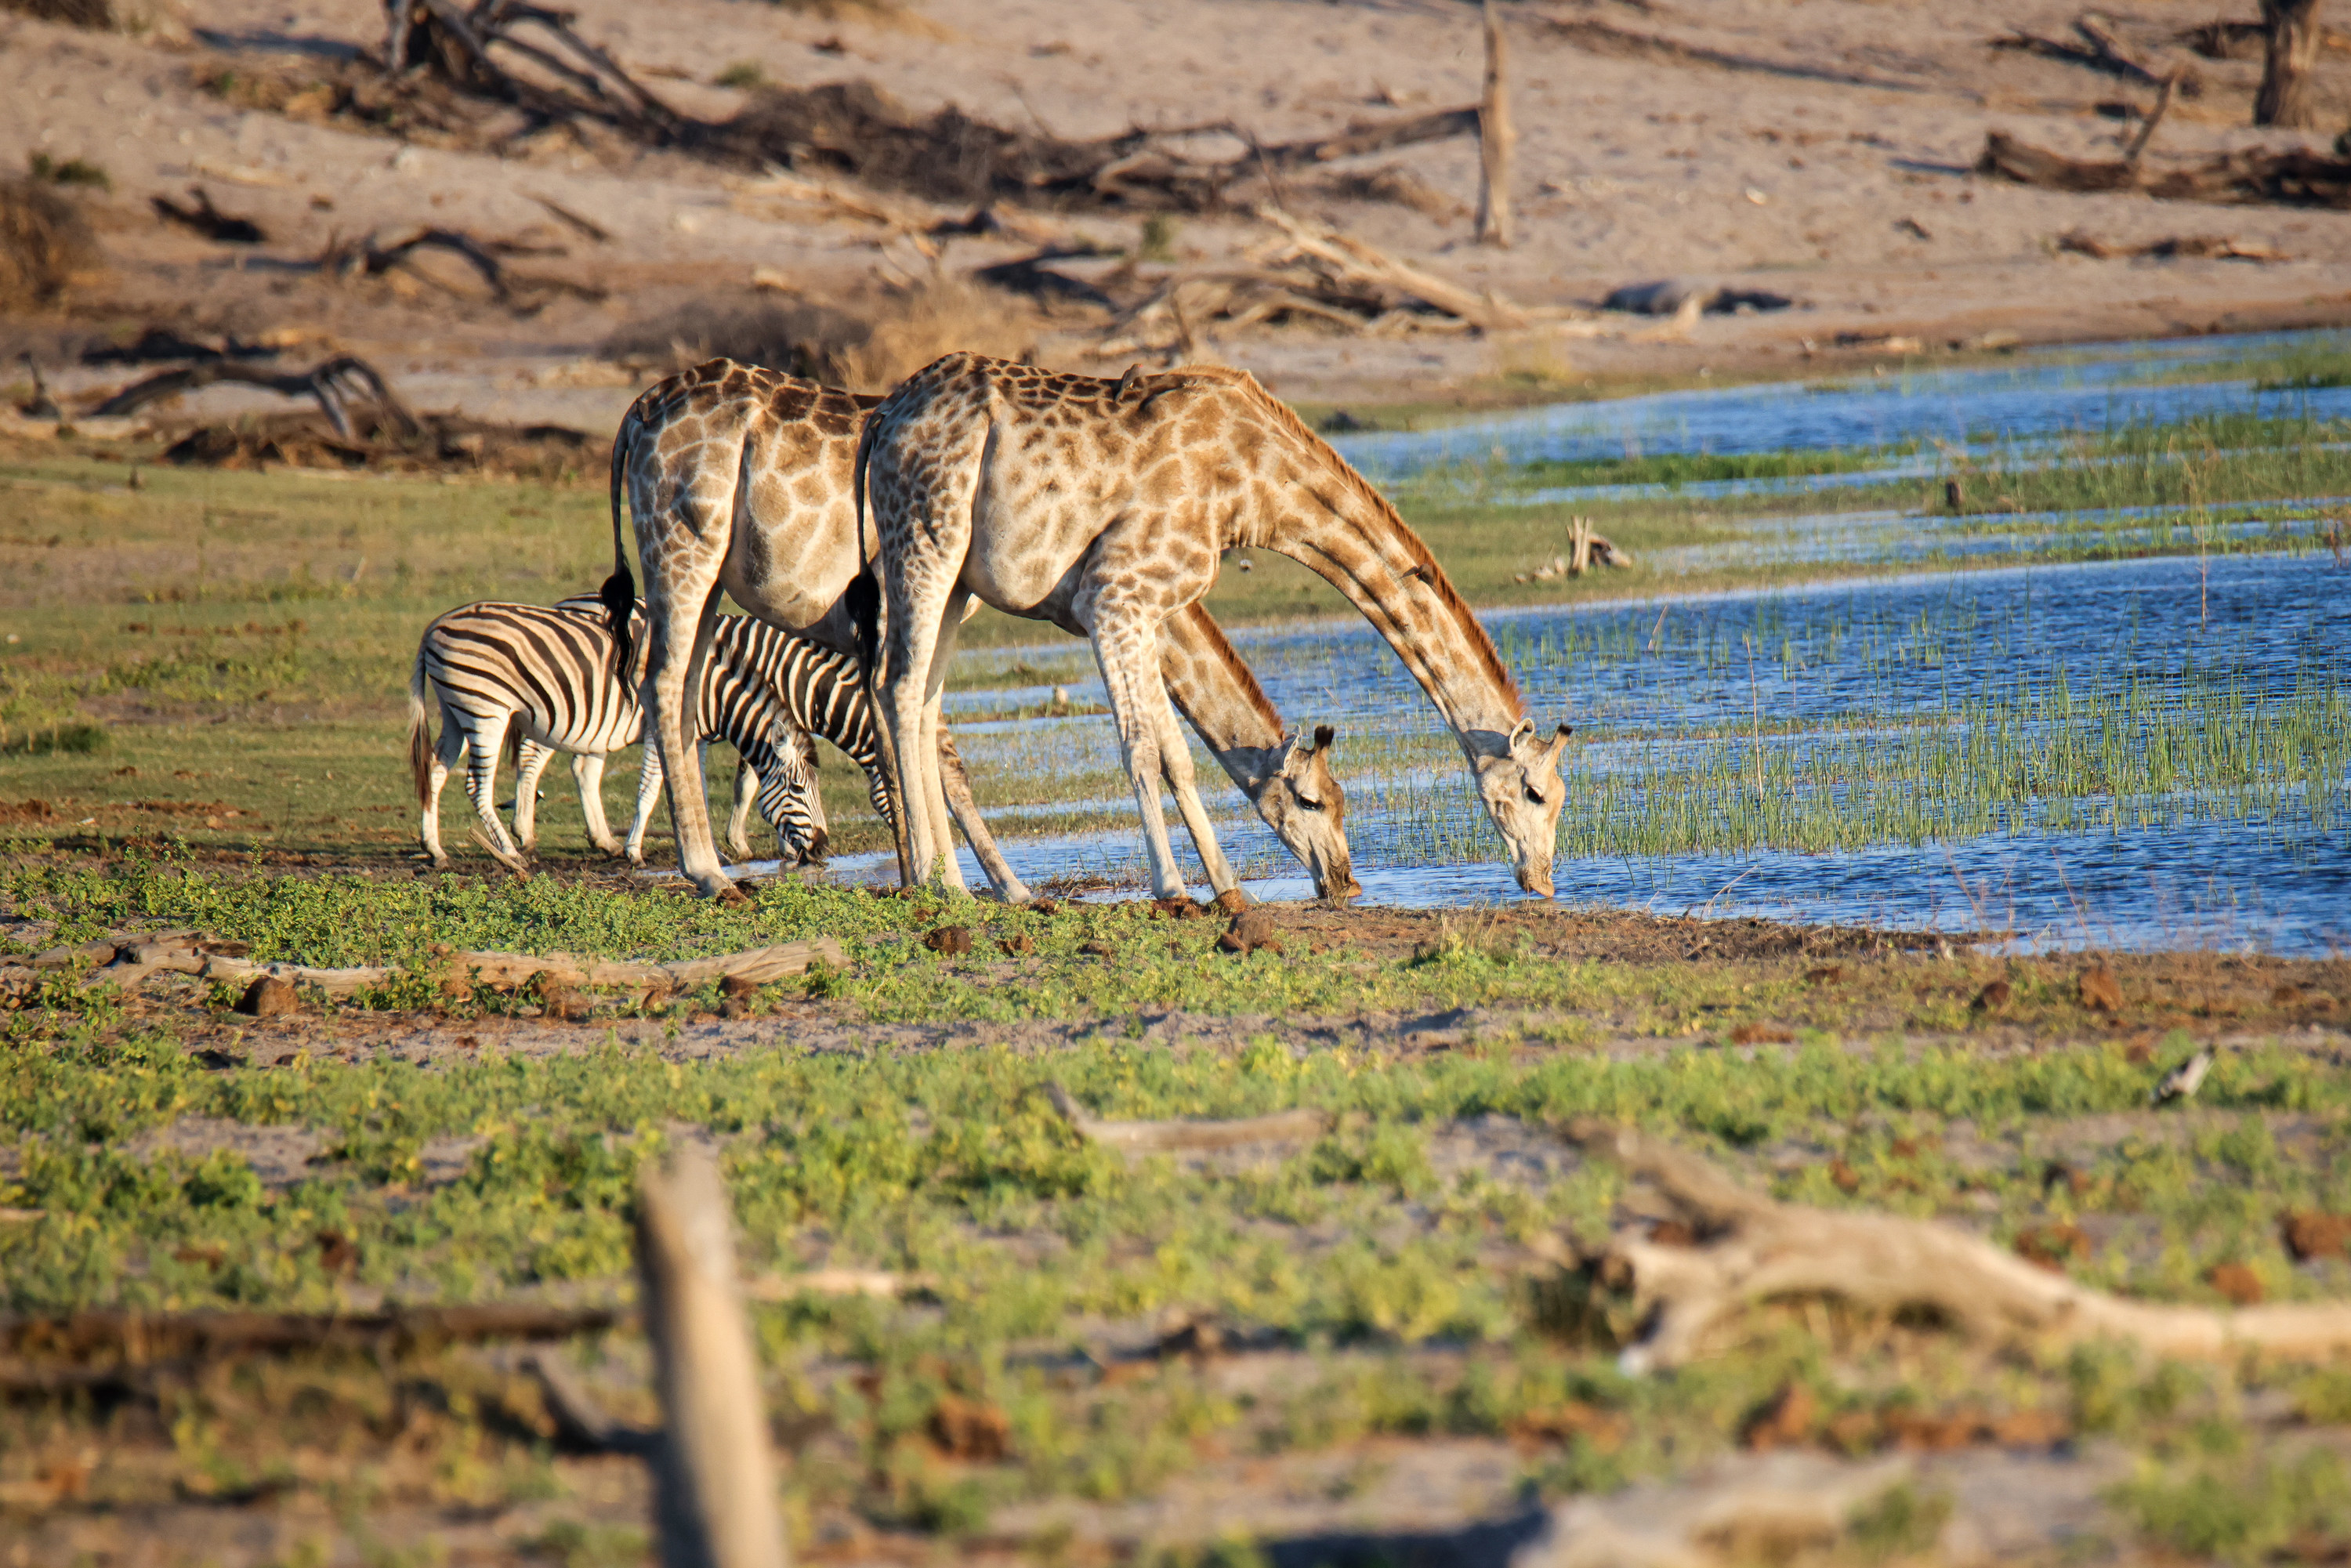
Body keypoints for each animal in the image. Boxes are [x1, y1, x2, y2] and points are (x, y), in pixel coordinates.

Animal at [411, 597, 828, 870]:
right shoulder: (660, 731)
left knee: (435, 770)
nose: (823, 848)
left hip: (456, 710)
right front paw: (635, 852)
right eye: (797, 789)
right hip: (487, 711)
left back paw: (435, 849)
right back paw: (512, 853)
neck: (708, 688)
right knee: (476, 785)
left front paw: (713, 849)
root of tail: (433, 626)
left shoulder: (693, 736)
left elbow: (698, 790)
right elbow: (650, 789)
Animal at [597, 355, 1354, 893]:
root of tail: (633, 415)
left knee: (679, 692)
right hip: (682, 554)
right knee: (662, 684)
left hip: (709, 586)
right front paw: (989, 887)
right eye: (1316, 800)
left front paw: (929, 877)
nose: (1342, 881)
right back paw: (706, 871)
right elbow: (933, 750)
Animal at [856, 350, 1570, 903]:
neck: (1254, 485)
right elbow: (1141, 747)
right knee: (900, 687)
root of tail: (884, 418)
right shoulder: (1114, 594)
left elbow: (1176, 753)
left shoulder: (1149, 608)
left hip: (957, 579)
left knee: (919, 699)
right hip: (925, 540)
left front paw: (1229, 887)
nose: (1542, 880)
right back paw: (939, 883)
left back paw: (945, 879)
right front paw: (1172, 888)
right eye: (1536, 793)